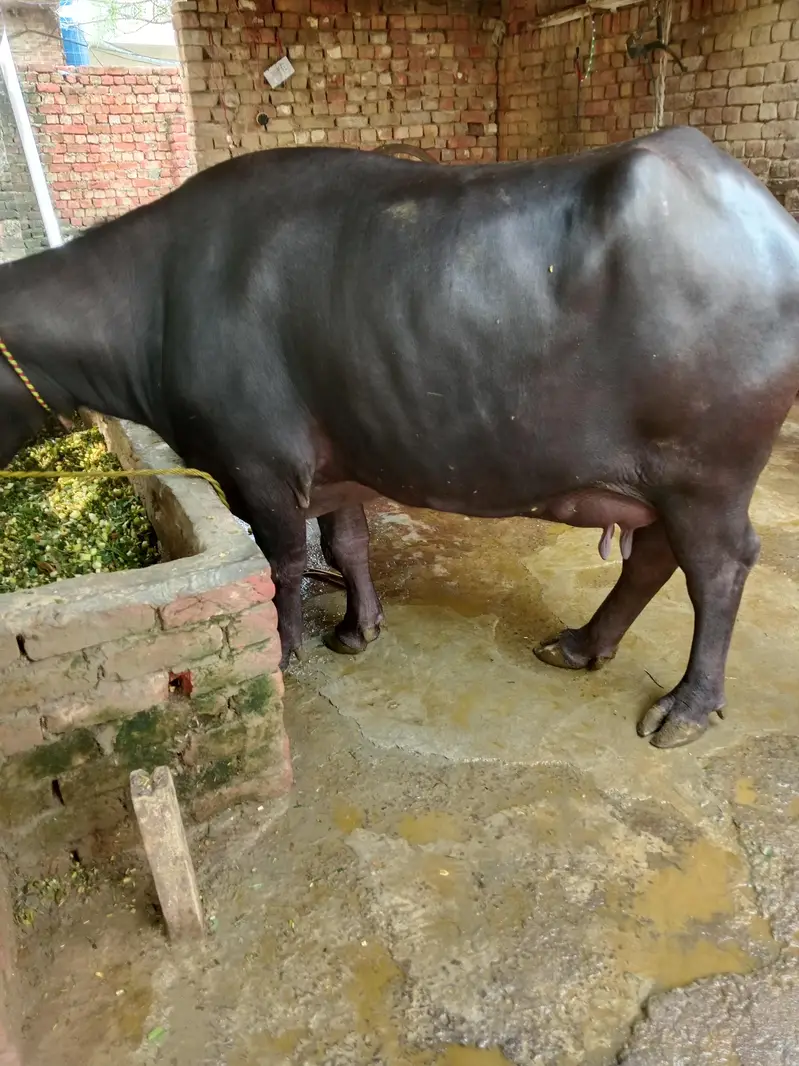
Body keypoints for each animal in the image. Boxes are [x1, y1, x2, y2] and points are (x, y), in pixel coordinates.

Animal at [2, 126, 799, 750]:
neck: (155, 303)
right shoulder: (337, 465)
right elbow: (347, 545)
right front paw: (359, 629)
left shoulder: (258, 469)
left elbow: (281, 566)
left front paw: (284, 650)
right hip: (666, 481)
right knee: (656, 558)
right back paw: (580, 645)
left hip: (706, 476)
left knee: (718, 570)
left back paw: (685, 708)